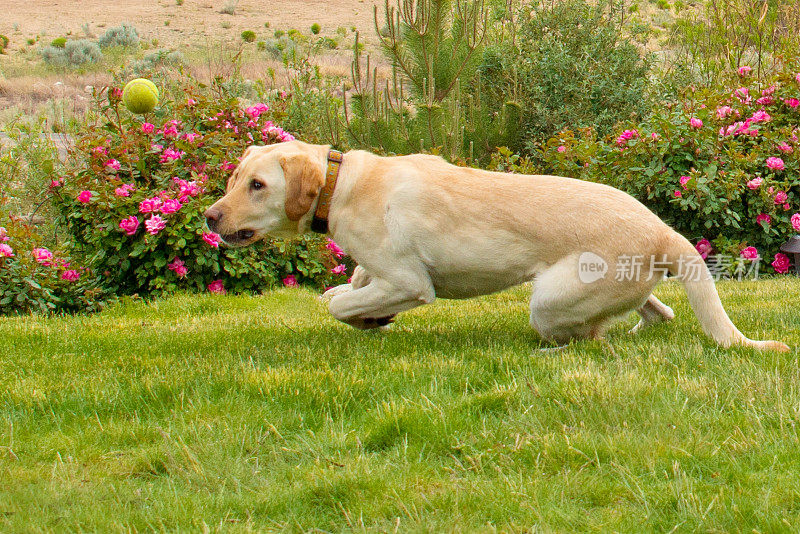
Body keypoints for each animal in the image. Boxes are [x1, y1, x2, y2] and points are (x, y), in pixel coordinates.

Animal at [205, 140, 788, 354]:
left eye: (256, 185)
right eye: (234, 178)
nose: (209, 217)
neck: (340, 182)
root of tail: (663, 230)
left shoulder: (410, 282)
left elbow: (343, 303)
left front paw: (366, 316)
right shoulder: (378, 271)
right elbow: (350, 285)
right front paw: (366, 309)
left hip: (552, 300)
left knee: (591, 337)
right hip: (627, 288)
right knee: (657, 311)